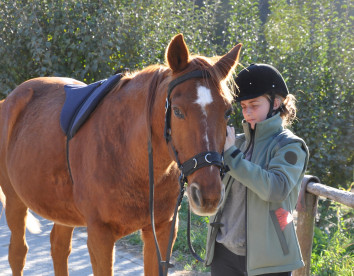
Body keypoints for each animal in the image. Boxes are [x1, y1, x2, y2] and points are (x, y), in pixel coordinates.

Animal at [0, 33, 241, 274]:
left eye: (228, 111)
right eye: (177, 111)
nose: (209, 194)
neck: (130, 157)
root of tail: (11, 99)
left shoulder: (162, 231)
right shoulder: (100, 236)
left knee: (58, 247)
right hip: (15, 201)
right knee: (18, 253)